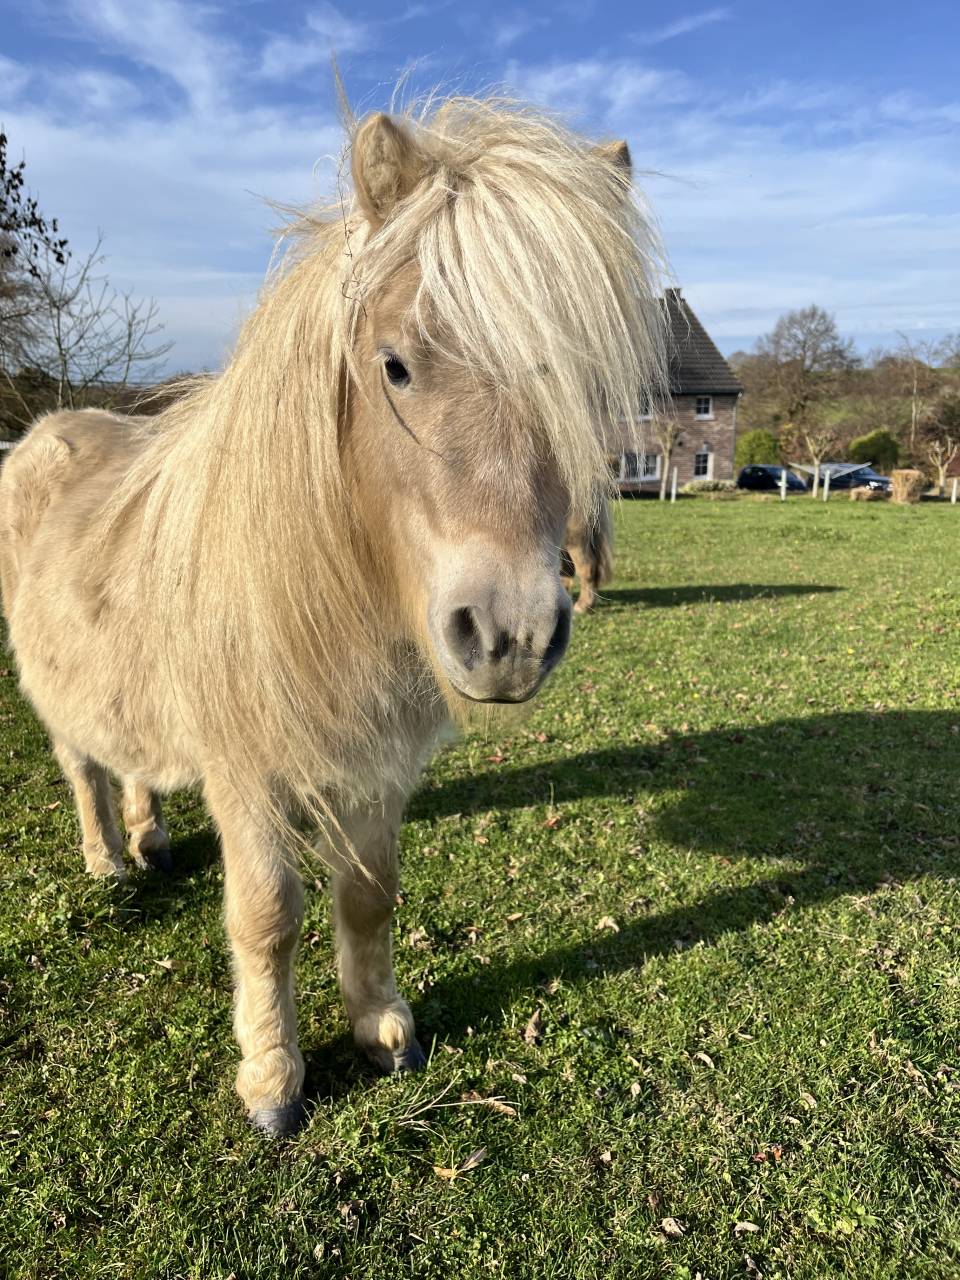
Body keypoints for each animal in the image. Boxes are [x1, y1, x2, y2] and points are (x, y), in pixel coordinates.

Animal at [0, 97, 664, 1136]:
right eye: (394, 367)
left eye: (583, 387)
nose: (510, 636)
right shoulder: (246, 772)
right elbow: (268, 915)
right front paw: (273, 1080)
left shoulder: (380, 766)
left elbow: (369, 894)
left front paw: (380, 1028)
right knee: (83, 766)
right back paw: (109, 859)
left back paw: (150, 836)